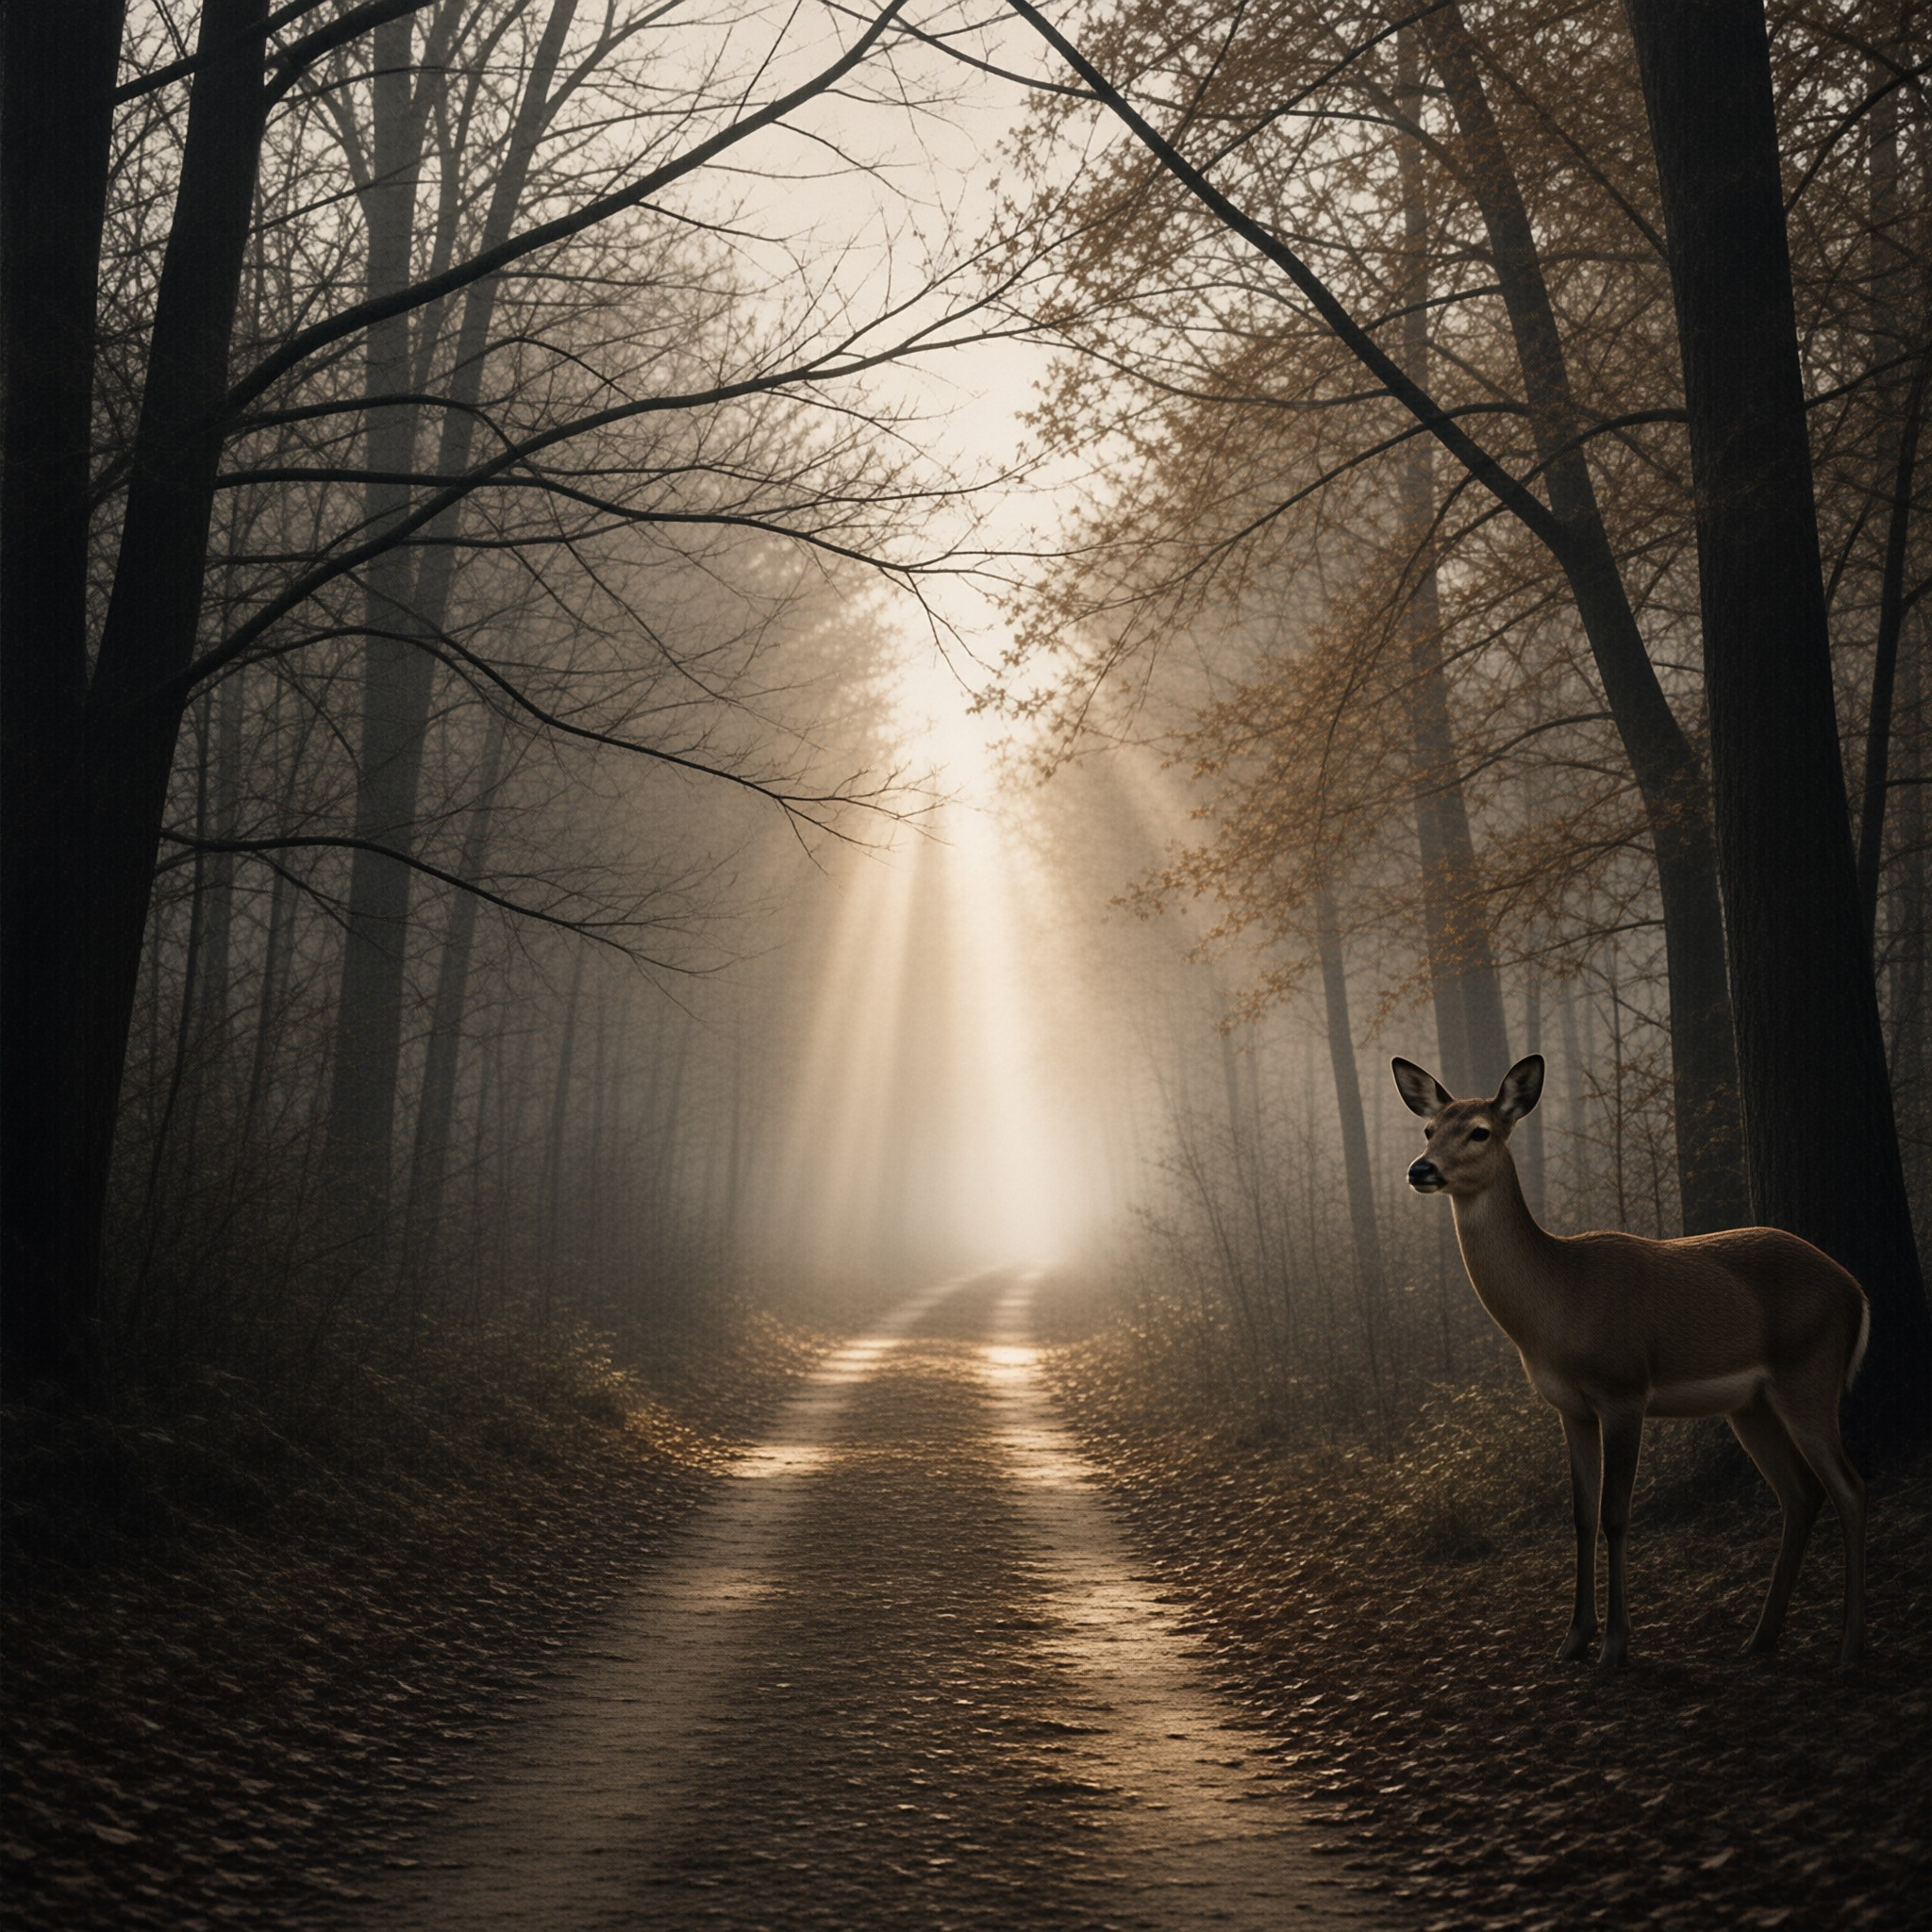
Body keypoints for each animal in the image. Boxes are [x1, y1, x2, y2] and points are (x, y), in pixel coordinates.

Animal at [1391, 1053, 1869, 1669]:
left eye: (1479, 1131)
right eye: (1429, 1128)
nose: (1420, 1168)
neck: (1558, 1303)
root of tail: (1857, 1293)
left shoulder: (1624, 1390)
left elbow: (1617, 1514)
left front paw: (1615, 1645)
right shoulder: (1570, 1408)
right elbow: (1582, 1515)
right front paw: (1572, 1640)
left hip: (1809, 1377)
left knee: (1849, 1489)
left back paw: (1849, 1648)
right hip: (1751, 1406)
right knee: (1801, 1495)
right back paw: (1760, 1638)